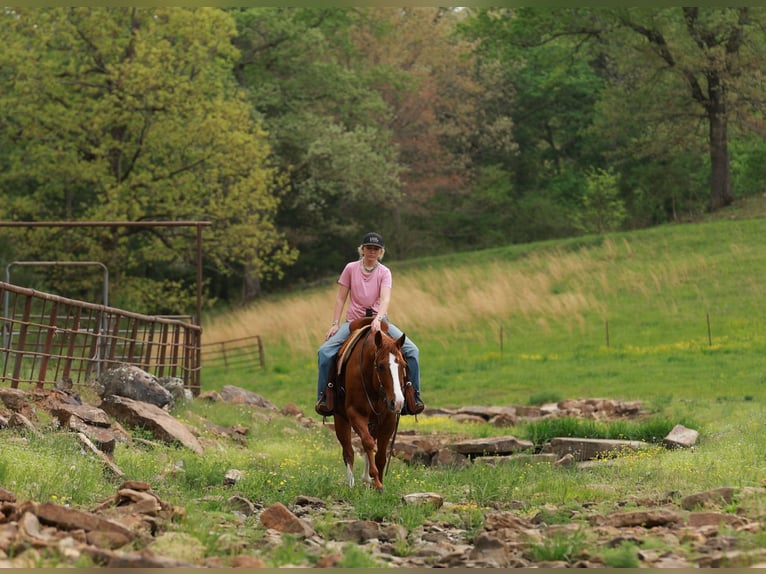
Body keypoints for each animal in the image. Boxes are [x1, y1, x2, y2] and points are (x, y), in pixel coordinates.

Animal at [332, 317, 407, 491]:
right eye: (381, 366)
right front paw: (375, 479)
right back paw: (351, 484)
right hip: (340, 419)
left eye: (403, 365)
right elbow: (367, 442)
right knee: (348, 451)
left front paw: (378, 483)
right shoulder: (355, 413)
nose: (398, 402)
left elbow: (380, 454)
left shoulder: (388, 419)